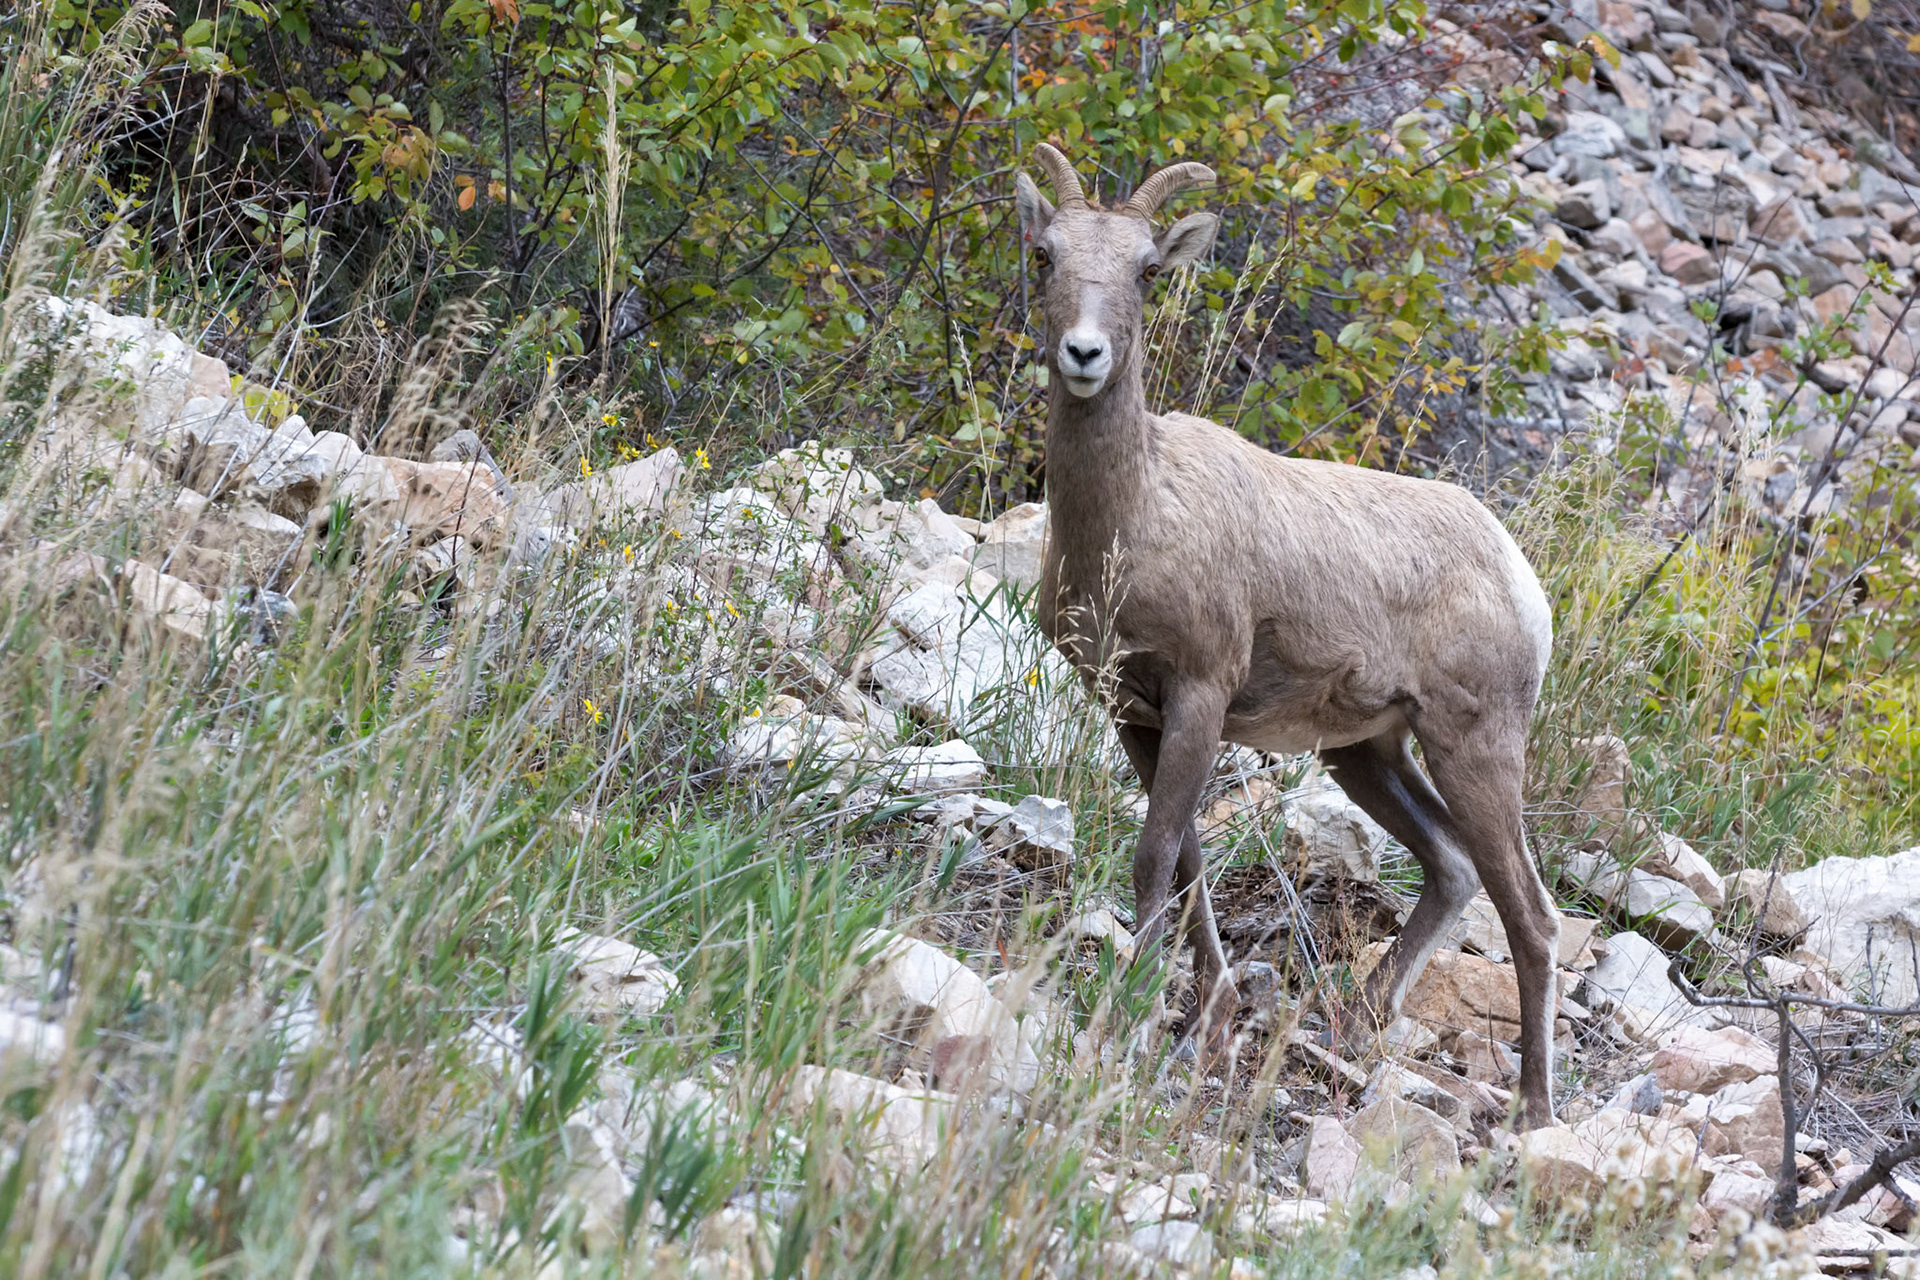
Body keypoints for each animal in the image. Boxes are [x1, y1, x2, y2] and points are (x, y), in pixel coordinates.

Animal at [1015, 143, 1561, 1128]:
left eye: (1146, 272)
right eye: (1046, 256)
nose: (1084, 353)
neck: (1133, 517)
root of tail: (1519, 578)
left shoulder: (1199, 694)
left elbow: (1155, 857)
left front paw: (1137, 1021)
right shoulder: (1135, 711)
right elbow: (1188, 861)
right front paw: (1208, 1020)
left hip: (1474, 747)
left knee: (1531, 915)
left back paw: (1535, 1117)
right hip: (1368, 753)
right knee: (1453, 868)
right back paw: (1355, 1021)